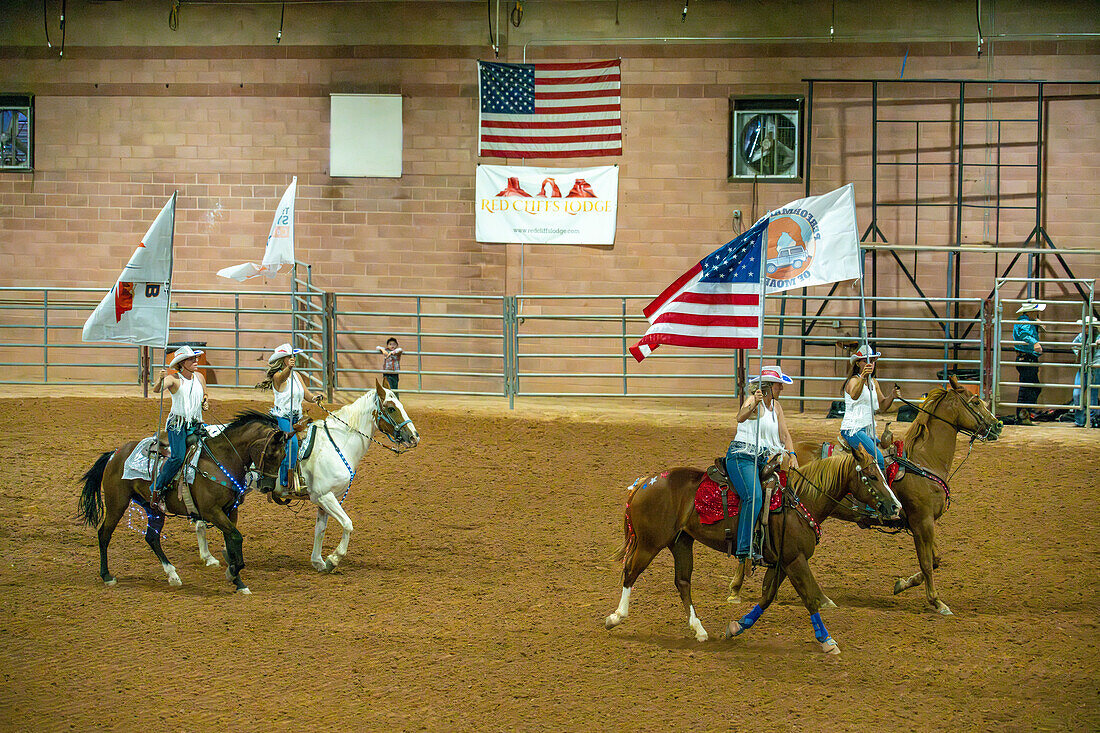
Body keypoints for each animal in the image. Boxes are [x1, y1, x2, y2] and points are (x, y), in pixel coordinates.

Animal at [80, 411, 290, 594]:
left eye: (283, 456)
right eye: (271, 454)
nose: (267, 487)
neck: (220, 460)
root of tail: (114, 453)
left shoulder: (231, 511)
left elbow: (232, 543)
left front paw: (238, 582)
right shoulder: (212, 511)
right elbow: (236, 538)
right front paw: (232, 574)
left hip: (153, 508)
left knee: (152, 538)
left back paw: (173, 576)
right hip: (117, 503)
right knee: (104, 534)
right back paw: (107, 576)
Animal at [195, 378, 418, 572]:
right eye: (391, 408)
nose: (414, 437)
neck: (337, 442)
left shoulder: (326, 498)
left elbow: (320, 530)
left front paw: (318, 562)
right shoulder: (325, 496)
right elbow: (347, 524)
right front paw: (334, 558)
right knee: (200, 521)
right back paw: (208, 558)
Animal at [602, 442, 902, 651]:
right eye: (871, 476)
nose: (896, 507)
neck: (799, 501)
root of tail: (644, 482)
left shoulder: (782, 562)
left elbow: (767, 597)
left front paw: (736, 627)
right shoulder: (795, 560)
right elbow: (809, 598)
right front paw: (827, 641)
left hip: (681, 542)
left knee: (682, 582)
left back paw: (698, 629)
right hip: (650, 543)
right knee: (630, 573)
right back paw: (616, 617)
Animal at [792, 374, 1007, 611]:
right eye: (976, 402)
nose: (998, 425)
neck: (923, 460)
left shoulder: (924, 523)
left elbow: (935, 560)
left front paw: (902, 584)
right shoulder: (922, 521)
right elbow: (927, 563)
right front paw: (937, 601)